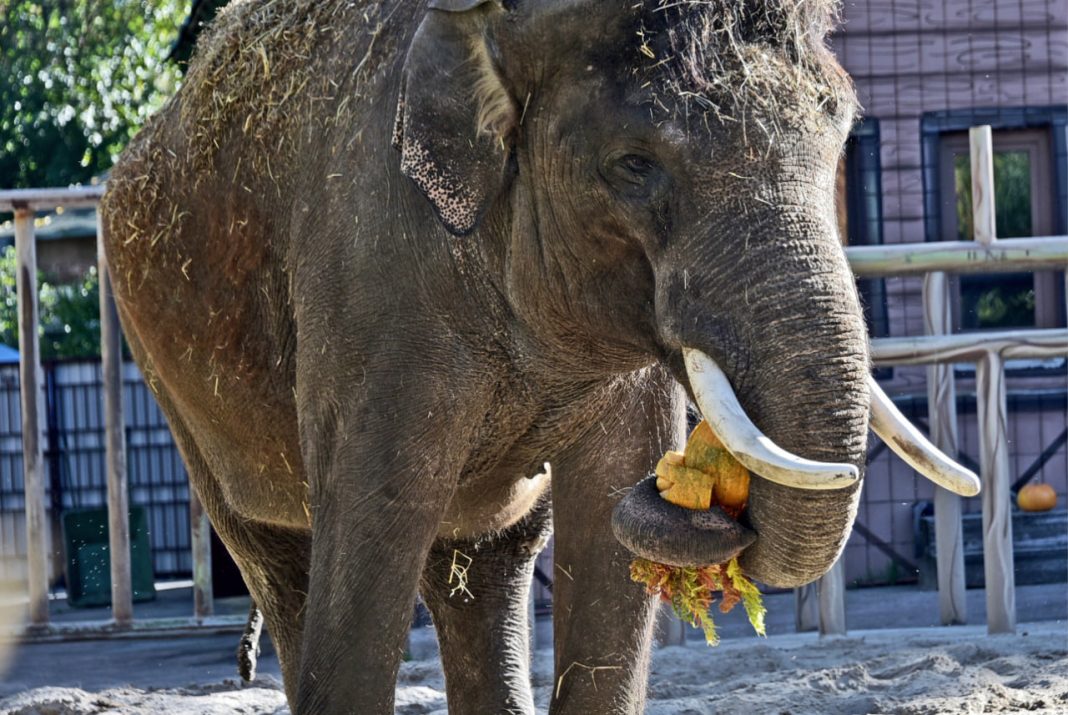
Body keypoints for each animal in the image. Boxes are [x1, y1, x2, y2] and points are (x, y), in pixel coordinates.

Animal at [99, 0, 978, 712]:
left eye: (840, 138)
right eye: (634, 164)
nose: (703, 501)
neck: (497, 25)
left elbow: (606, 516)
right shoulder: (370, 280)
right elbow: (374, 533)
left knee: (489, 556)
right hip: (171, 377)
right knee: (280, 559)